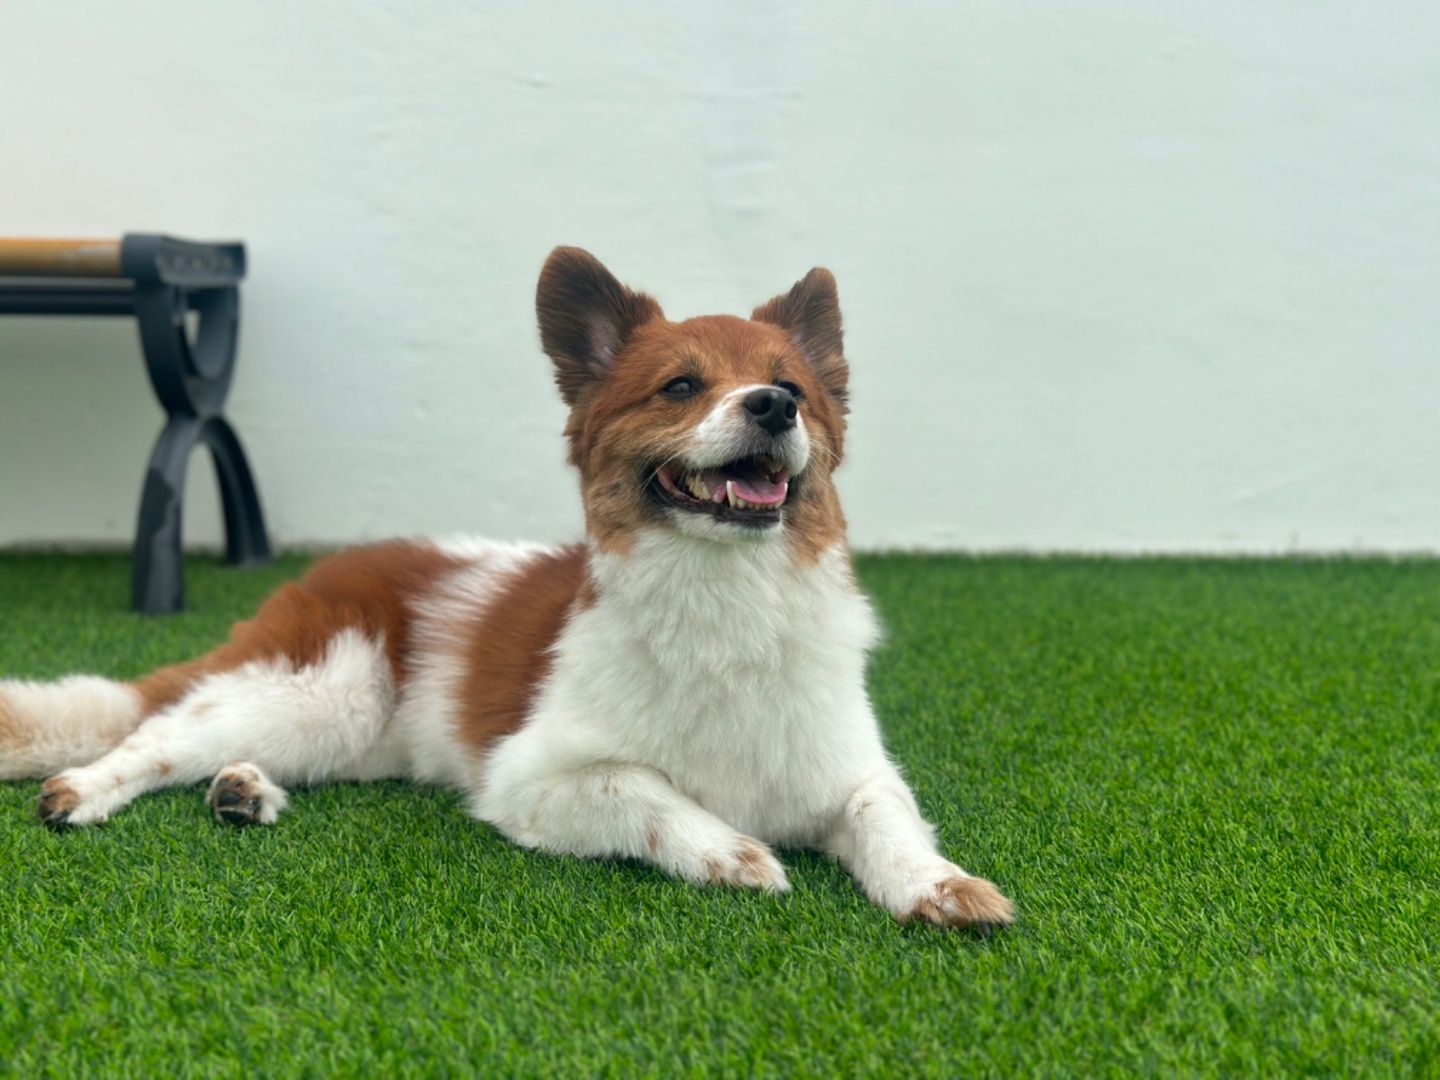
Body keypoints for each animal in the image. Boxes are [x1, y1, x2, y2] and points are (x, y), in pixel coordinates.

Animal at [0, 249, 1013, 933]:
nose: (773, 408)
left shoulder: (853, 769)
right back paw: (84, 790)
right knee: (157, 738)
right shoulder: (529, 779)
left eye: (790, 383)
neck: (725, 599)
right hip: (320, 686)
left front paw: (940, 885)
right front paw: (731, 851)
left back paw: (243, 791)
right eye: (681, 386)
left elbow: (889, 821)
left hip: (347, 733)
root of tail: (329, 567)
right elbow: (644, 788)